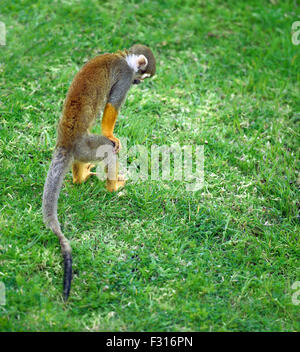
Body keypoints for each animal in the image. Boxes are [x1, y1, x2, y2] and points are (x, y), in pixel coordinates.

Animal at [42, 44, 157, 300]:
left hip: (81, 149)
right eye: (141, 76)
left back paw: (79, 177)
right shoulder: (124, 75)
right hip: (87, 146)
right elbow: (111, 107)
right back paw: (113, 188)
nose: (138, 83)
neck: (124, 58)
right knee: (108, 150)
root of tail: (65, 141)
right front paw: (112, 134)